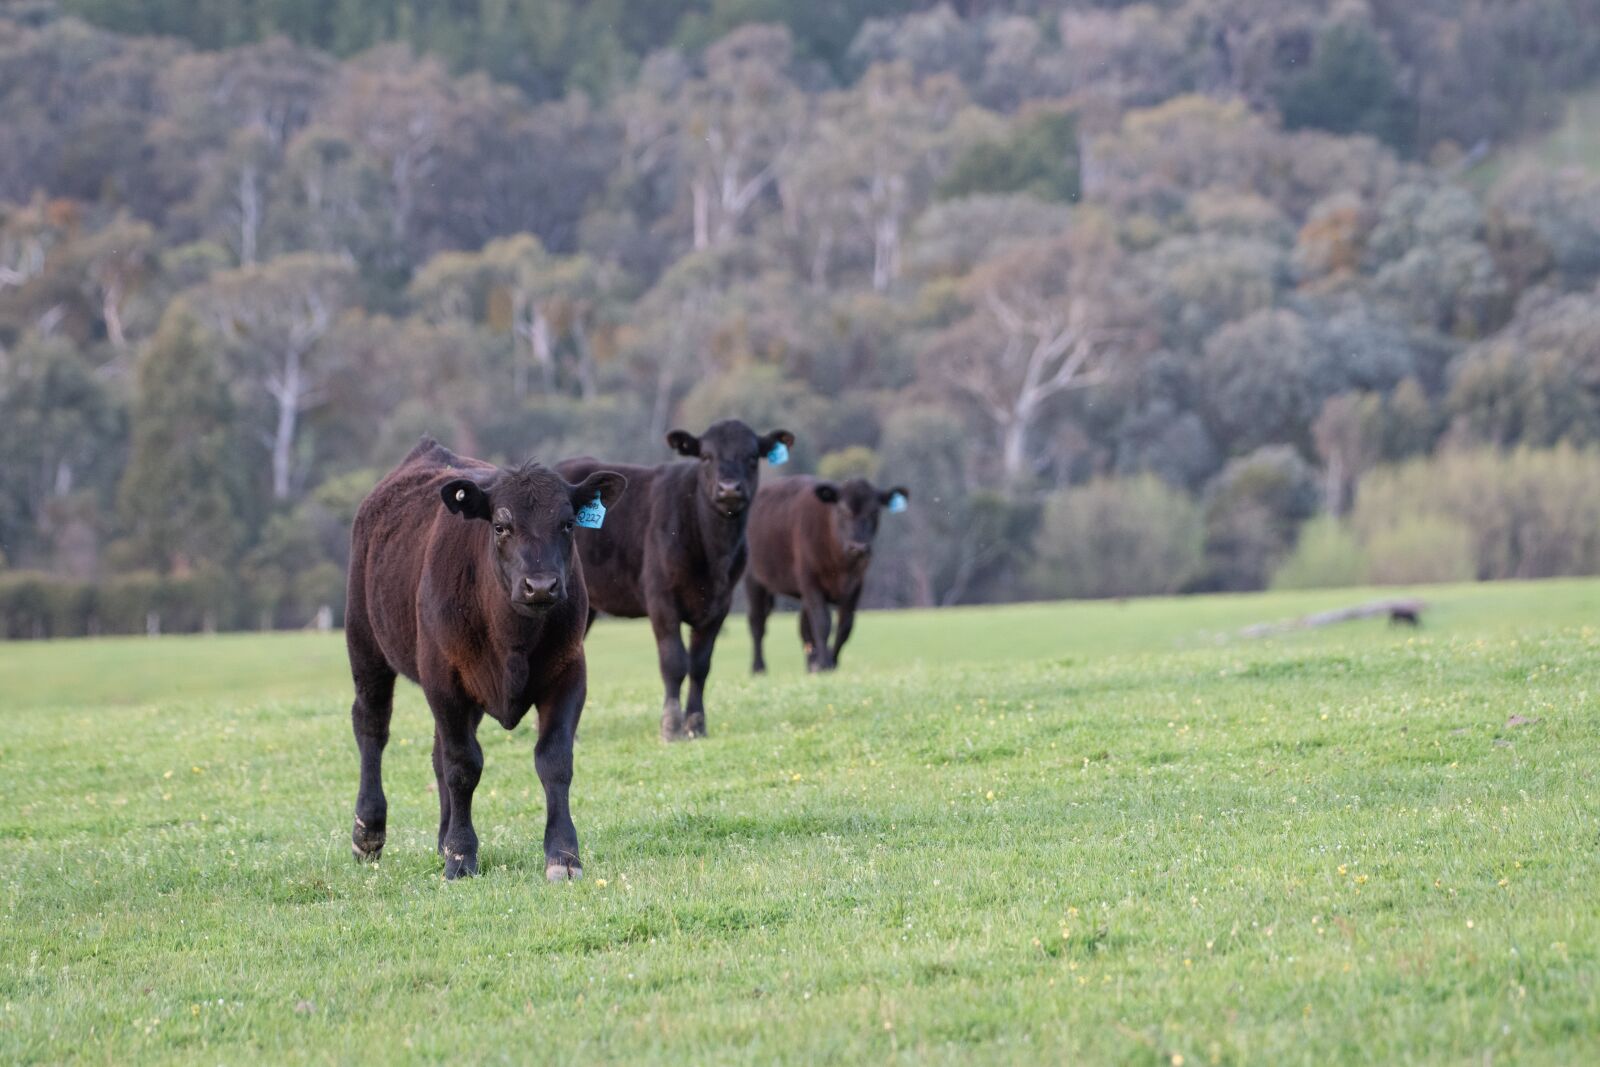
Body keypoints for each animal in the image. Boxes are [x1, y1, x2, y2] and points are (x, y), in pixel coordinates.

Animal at [345, 437, 626, 882]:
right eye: (500, 526)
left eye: (568, 523)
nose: (540, 585)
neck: (513, 642)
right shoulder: (444, 677)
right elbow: (463, 766)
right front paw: (461, 857)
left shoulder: (569, 672)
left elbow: (554, 760)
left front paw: (563, 855)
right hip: (365, 642)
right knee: (372, 726)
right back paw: (368, 832)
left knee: (435, 753)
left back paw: (440, 840)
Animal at [555, 420, 794, 741]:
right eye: (706, 456)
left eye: (753, 456)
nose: (729, 488)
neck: (713, 553)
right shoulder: (661, 599)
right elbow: (674, 662)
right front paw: (670, 726)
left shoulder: (720, 604)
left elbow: (701, 665)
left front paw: (696, 724)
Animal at [744, 475, 909, 673]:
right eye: (842, 510)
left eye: (874, 511)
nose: (858, 547)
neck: (841, 564)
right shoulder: (811, 582)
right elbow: (822, 622)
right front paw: (824, 663)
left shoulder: (855, 586)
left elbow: (845, 625)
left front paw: (831, 661)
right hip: (754, 580)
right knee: (757, 622)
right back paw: (758, 667)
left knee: (803, 626)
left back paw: (810, 663)